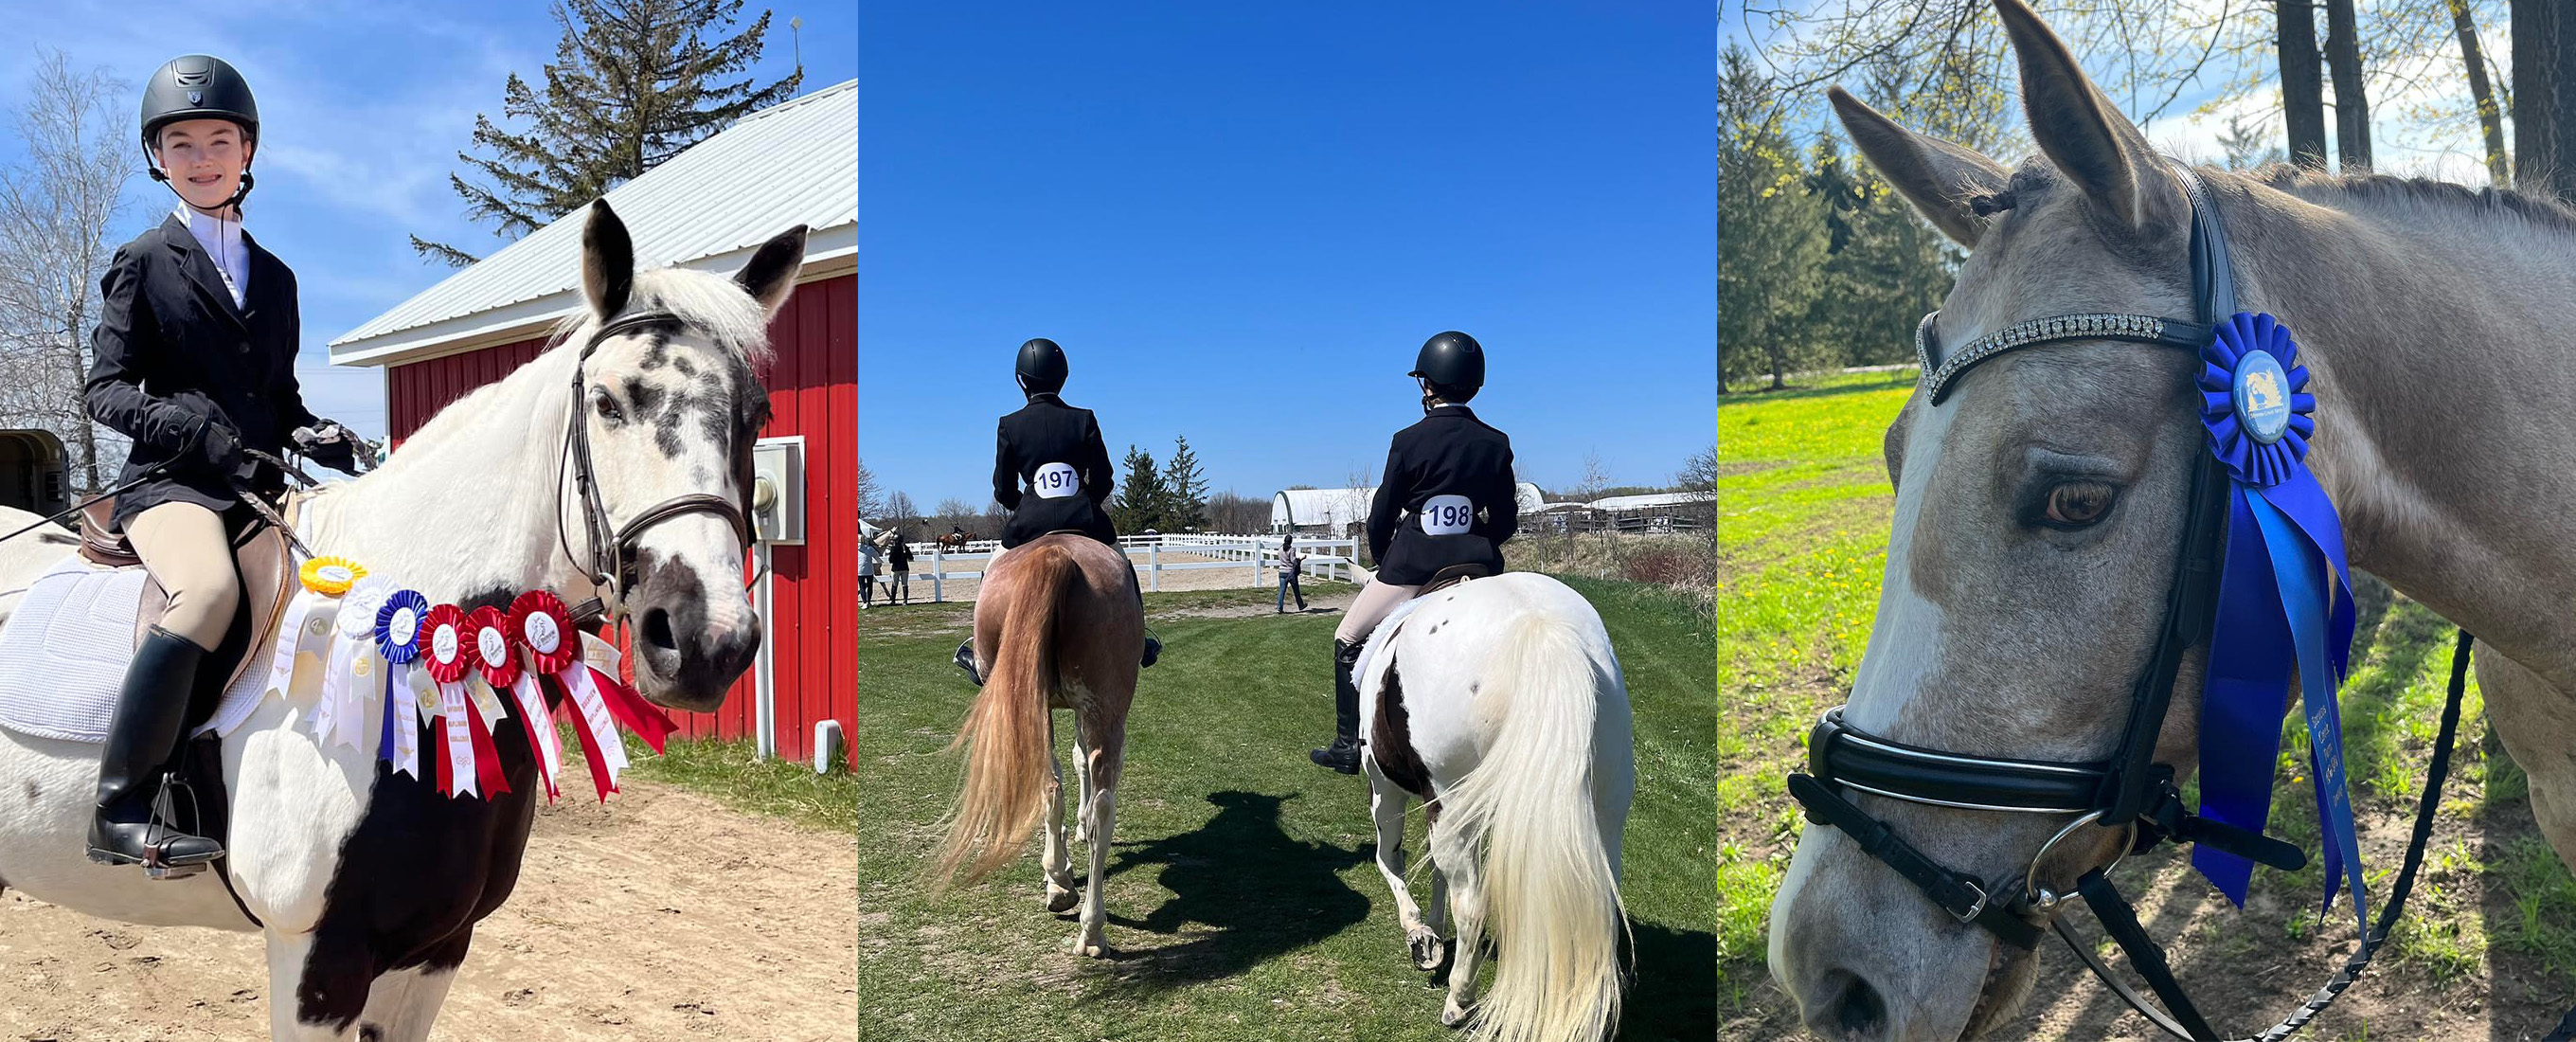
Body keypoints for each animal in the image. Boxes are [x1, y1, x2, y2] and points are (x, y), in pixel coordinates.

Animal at [0, 199, 803, 1041]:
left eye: (757, 415)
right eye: (610, 403)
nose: (706, 641)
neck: (400, 667)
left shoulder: (436, 949)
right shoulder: (318, 960)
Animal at [931, 532, 1142, 957]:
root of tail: (1057, 553)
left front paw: (1063, 862)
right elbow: (1078, 761)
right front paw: (1071, 846)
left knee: (1055, 788)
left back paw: (1067, 895)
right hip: (1103, 711)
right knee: (1093, 803)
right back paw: (1088, 925)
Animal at [1357, 571, 1635, 1042]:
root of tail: (1540, 628)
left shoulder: (1387, 788)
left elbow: (1389, 860)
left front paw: (1421, 936)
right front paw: (1433, 931)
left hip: (1444, 799)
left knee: (1471, 904)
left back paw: (1457, 1000)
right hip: (1607, 811)